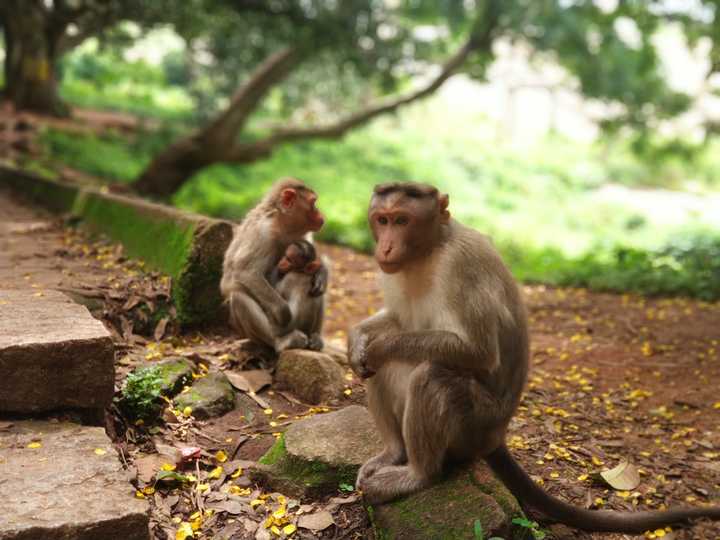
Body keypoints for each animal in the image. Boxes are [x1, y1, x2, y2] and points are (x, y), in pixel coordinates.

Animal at [221, 177, 328, 352]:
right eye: (313, 203)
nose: (321, 214)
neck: (282, 223)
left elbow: (313, 260)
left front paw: (322, 273)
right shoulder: (262, 232)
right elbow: (244, 272)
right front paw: (283, 313)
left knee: (316, 289)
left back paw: (315, 338)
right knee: (238, 296)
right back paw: (282, 341)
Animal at [348, 180, 720, 532]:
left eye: (402, 220)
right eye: (382, 220)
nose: (385, 246)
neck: (429, 250)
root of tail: (495, 438)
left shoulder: (461, 265)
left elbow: (477, 352)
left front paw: (378, 346)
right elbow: (397, 322)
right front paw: (358, 339)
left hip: (474, 426)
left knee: (432, 375)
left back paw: (418, 474)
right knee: (388, 368)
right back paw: (395, 453)